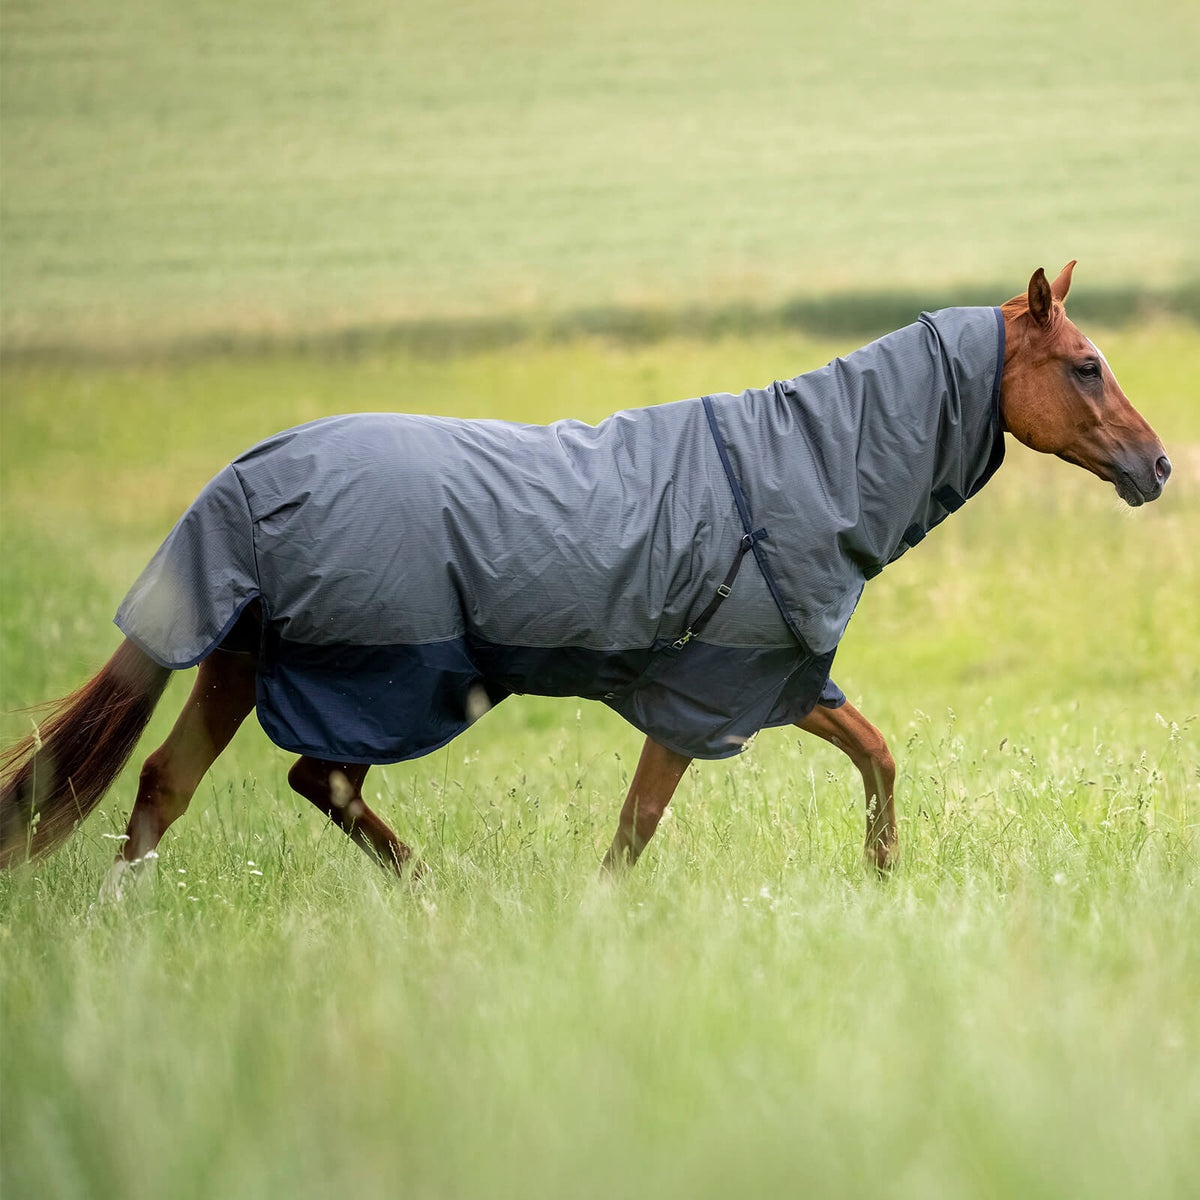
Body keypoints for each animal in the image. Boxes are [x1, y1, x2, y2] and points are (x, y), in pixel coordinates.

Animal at [0, 264, 1171, 890]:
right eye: (1086, 366)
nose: (1159, 466)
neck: (792, 469)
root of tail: (241, 478)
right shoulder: (705, 693)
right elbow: (637, 827)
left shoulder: (776, 680)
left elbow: (877, 755)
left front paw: (885, 878)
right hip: (372, 675)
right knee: (312, 778)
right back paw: (430, 894)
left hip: (247, 665)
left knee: (170, 785)